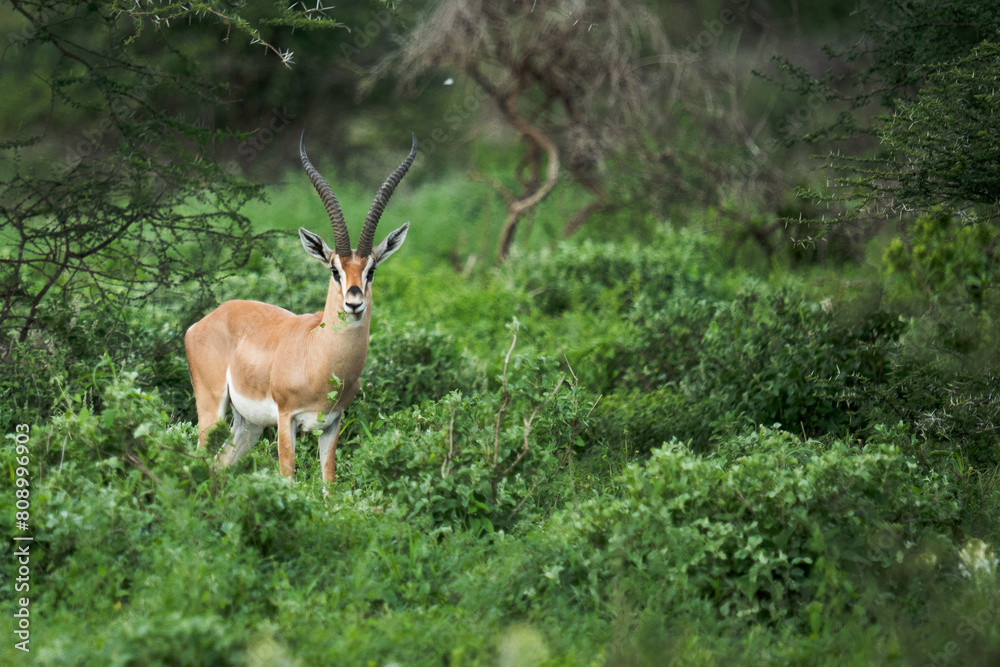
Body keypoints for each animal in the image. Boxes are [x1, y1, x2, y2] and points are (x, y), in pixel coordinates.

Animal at [184, 131, 416, 482]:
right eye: (334, 269)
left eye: (371, 270)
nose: (354, 302)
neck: (318, 355)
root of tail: (206, 320)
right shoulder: (286, 418)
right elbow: (288, 479)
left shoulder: (332, 423)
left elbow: (329, 482)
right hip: (212, 406)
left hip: (248, 425)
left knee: (220, 465)